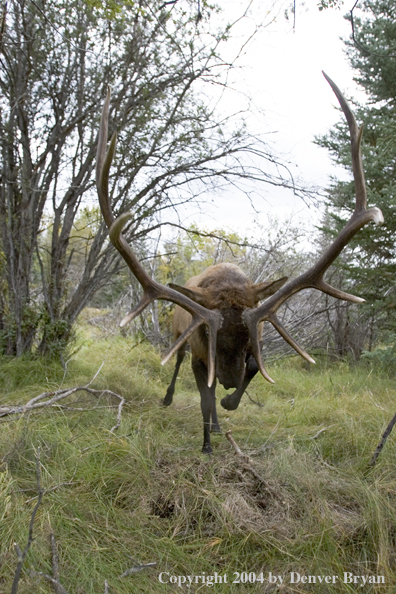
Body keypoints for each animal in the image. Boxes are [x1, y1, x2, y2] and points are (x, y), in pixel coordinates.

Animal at [96, 74, 384, 454]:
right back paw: (173, 400)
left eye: (250, 336)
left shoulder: (251, 348)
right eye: (209, 332)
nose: (229, 380)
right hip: (177, 335)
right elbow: (203, 397)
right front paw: (206, 444)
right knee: (177, 362)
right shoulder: (200, 354)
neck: (227, 288)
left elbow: (250, 372)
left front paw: (227, 407)